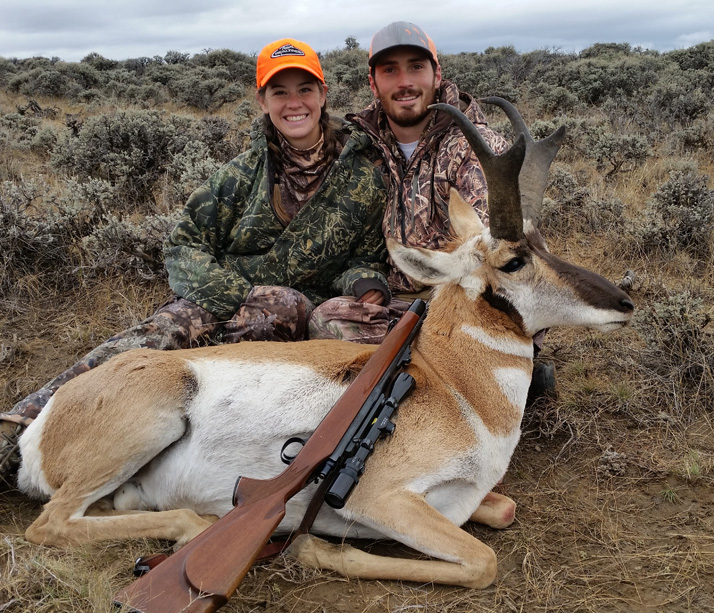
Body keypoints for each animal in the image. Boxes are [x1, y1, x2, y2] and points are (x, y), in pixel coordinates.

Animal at [16, 98, 634, 589]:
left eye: (544, 241)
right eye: (513, 261)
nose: (624, 303)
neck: (454, 385)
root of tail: (40, 425)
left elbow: (502, 510)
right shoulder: (382, 499)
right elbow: (483, 562)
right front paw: (313, 548)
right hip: (150, 424)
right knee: (49, 525)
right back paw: (200, 530)